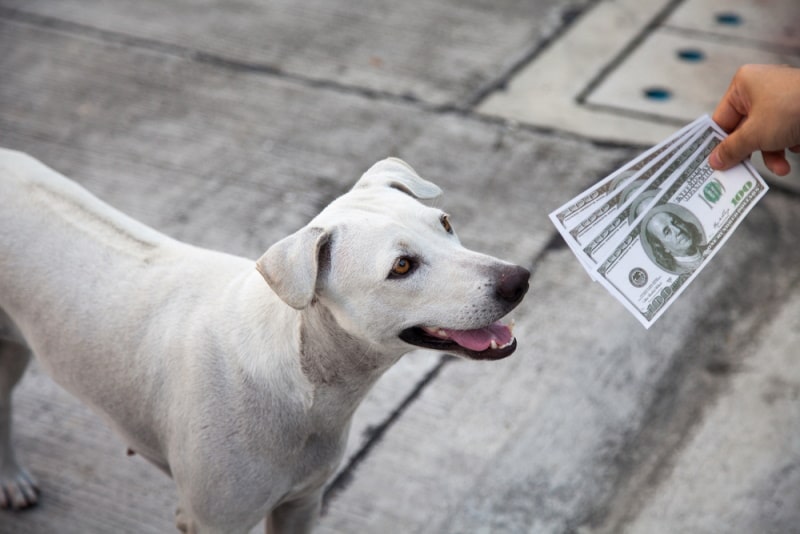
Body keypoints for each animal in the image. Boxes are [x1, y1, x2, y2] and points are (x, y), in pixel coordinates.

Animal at [1, 150, 532, 534]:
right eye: (401, 266)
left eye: (445, 223)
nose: (519, 280)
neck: (306, 380)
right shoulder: (211, 521)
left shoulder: (303, 502)